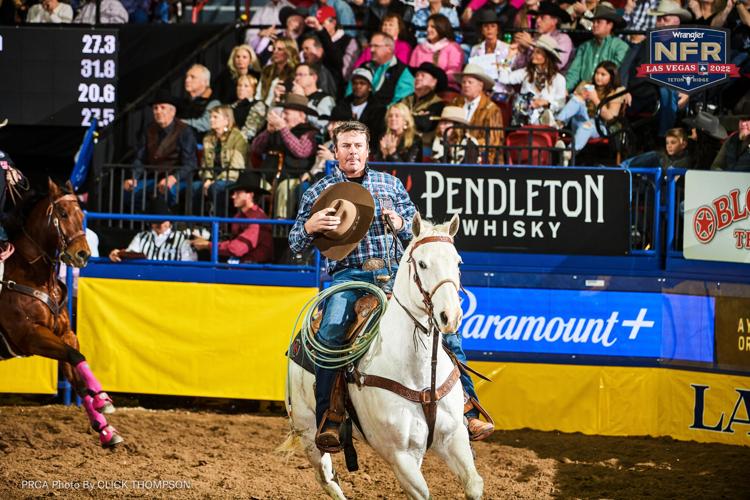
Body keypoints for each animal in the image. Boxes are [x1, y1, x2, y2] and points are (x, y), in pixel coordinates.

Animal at [0, 178, 122, 448]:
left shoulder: (65, 333)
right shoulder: (30, 336)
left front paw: (105, 427)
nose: (82, 254)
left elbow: (77, 370)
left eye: (81, 214)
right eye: (63, 214)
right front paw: (103, 399)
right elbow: (75, 357)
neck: (32, 276)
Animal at [280, 214, 482, 500]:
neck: (419, 373)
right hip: (308, 430)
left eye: (457, 262)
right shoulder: (400, 456)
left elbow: (474, 484)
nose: (450, 316)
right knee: (327, 478)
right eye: (422, 264)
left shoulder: (454, 437)